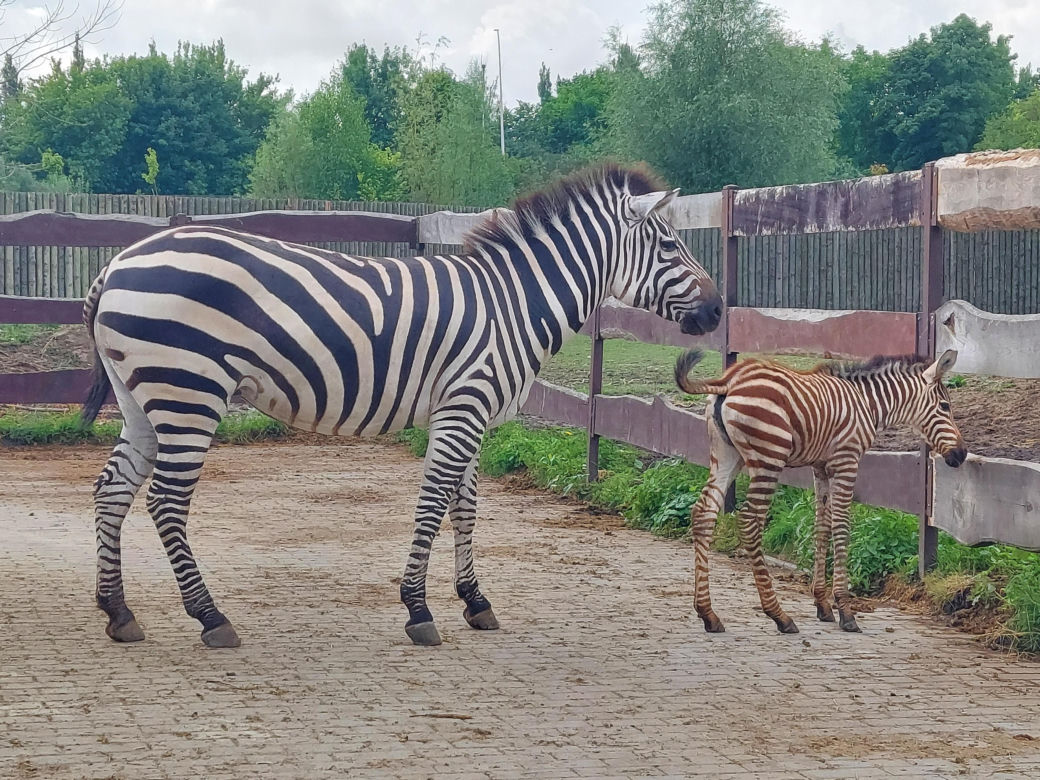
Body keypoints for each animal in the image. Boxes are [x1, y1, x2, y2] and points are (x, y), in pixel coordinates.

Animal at [80, 164, 724, 648]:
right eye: (671, 244)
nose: (719, 312)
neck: (513, 303)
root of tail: (117, 262)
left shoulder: (468, 410)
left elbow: (465, 506)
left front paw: (475, 602)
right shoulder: (465, 405)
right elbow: (434, 502)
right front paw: (418, 609)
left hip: (142, 398)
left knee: (112, 488)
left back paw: (118, 612)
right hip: (189, 392)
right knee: (165, 501)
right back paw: (210, 617)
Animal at [674, 348, 966, 634]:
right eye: (945, 406)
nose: (961, 455)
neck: (867, 404)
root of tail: (730, 380)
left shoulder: (820, 467)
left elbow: (821, 527)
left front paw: (823, 605)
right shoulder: (847, 461)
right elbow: (841, 527)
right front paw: (845, 611)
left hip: (726, 456)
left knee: (704, 513)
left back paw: (708, 614)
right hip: (768, 458)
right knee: (750, 522)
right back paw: (779, 615)